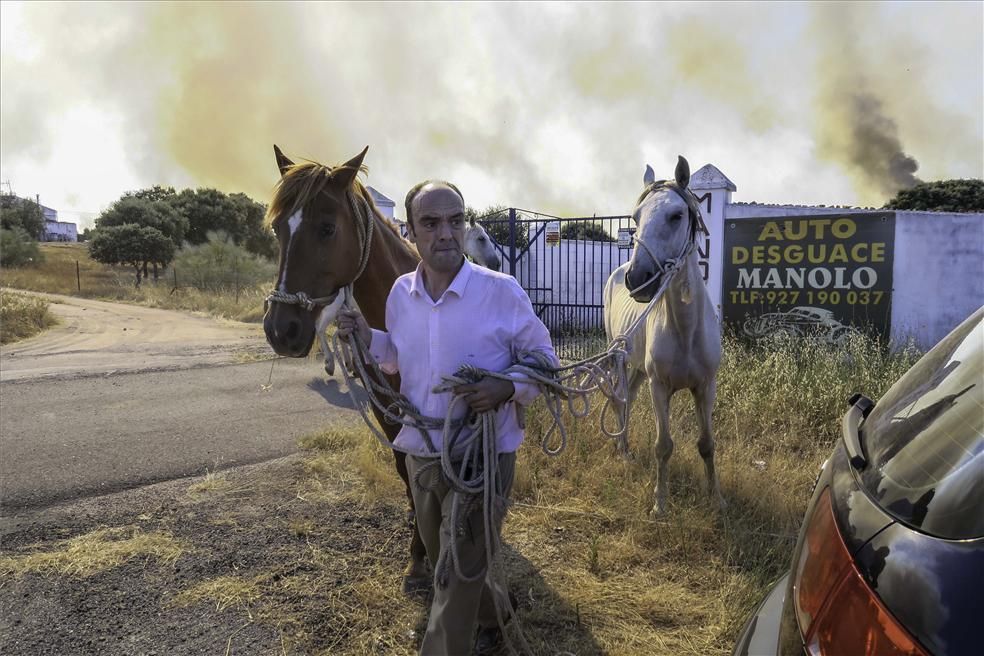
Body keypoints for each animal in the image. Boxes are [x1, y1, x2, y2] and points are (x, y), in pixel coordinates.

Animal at [264, 145, 432, 596]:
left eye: (326, 228)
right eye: (278, 230)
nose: (280, 329)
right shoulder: (385, 408)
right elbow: (404, 469)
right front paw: (417, 551)